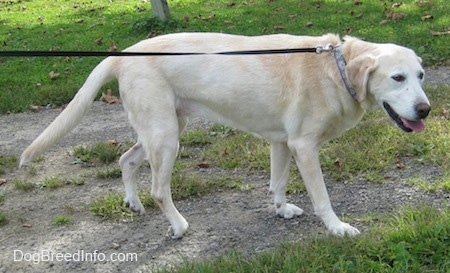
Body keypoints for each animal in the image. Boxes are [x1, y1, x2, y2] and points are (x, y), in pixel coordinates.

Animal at [19, 31, 430, 237]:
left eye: (420, 75)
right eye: (397, 78)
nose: (425, 110)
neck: (337, 66)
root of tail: (122, 55)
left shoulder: (282, 143)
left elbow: (278, 183)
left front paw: (281, 209)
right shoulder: (304, 147)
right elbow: (322, 198)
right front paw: (337, 228)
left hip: (162, 130)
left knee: (126, 159)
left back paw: (133, 203)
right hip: (166, 138)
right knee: (159, 189)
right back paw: (178, 226)